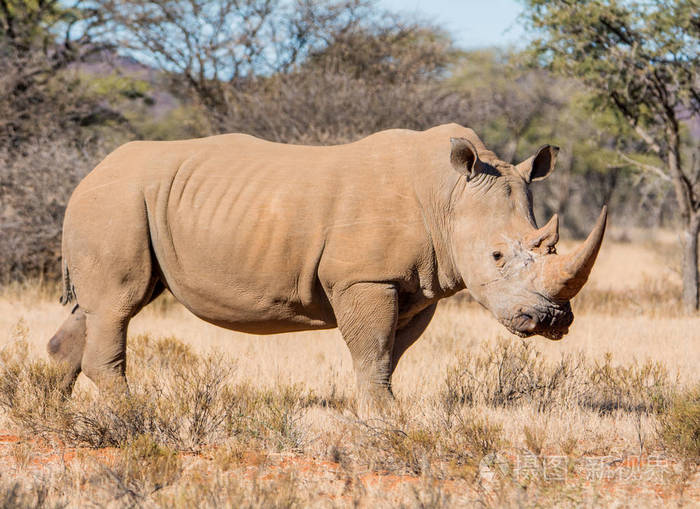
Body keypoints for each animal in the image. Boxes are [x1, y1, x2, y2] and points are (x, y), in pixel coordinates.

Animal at [46, 124, 604, 400]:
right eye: (496, 255)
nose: (551, 321)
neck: (447, 195)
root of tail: (88, 173)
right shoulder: (365, 278)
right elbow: (374, 353)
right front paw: (387, 426)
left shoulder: (416, 287)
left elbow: (387, 356)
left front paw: (381, 417)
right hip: (115, 203)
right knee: (117, 306)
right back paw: (135, 421)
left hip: (123, 204)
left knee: (93, 311)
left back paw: (57, 415)